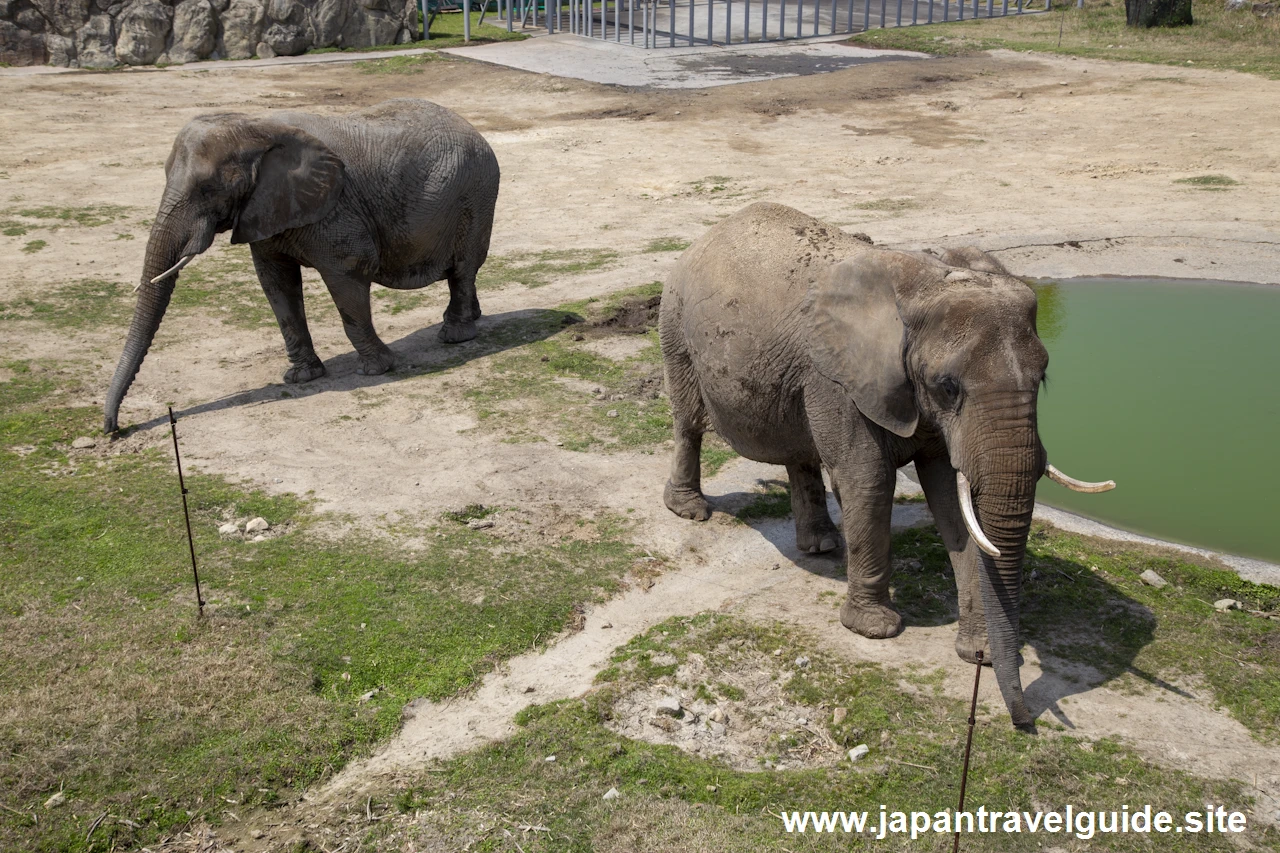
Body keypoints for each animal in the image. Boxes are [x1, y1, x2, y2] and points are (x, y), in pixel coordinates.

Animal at [103, 97, 499, 432]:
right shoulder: (266, 211)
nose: (113, 429)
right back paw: (471, 317)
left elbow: (348, 273)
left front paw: (377, 369)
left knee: (463, 268)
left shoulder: (338, 211)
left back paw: (454, 335)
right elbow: (276, 283)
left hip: (475, 195)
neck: (255, 126)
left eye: (207, 189)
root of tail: (474, 129)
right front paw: (301, 378)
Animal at [660, 202, 1111, 727]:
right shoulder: (840, 380)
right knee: (689, 421)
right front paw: (875, 630)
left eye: (1043, 378)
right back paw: (691, 511)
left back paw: (821, 546)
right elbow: (868, 483)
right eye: (948, 386)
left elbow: (952, 501)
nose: (1025, 721)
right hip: (676, 325)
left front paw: (976, 652)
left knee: (799, 450)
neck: (925, 285)